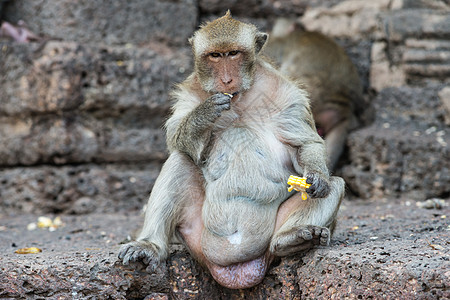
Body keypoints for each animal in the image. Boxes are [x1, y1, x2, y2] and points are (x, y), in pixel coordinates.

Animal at [117, 11, 344, 288]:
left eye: (233, 53)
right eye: (215, 55)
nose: (226, 80)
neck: (240, 99)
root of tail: (236, 269)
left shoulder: (288, 94)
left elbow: (304, 144)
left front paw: (318, 177)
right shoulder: (189, 94)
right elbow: (178, 140)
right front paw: (204, 113)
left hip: (263, 243)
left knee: (335, 185)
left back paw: (291, 239)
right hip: (197, 238)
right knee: (180, 161)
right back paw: (149, 246)